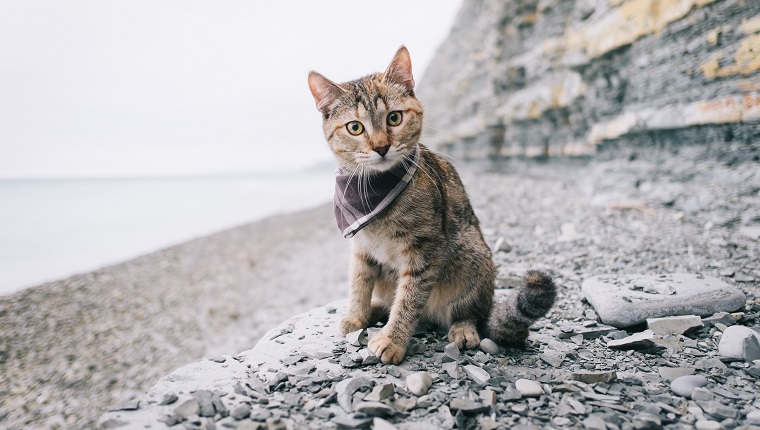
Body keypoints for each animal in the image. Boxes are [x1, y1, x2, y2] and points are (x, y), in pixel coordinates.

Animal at [306, 46, 556, 362]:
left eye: (394, 118)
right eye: (354, 127)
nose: (381, 146)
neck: (375, 188)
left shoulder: (424, 249)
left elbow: (408, 299)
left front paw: (393, 339)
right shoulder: (361, 247)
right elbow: (359, 283)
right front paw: (356, 315)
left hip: (472, 258)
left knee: (470, 313)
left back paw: (463, 329)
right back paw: (376, 310)